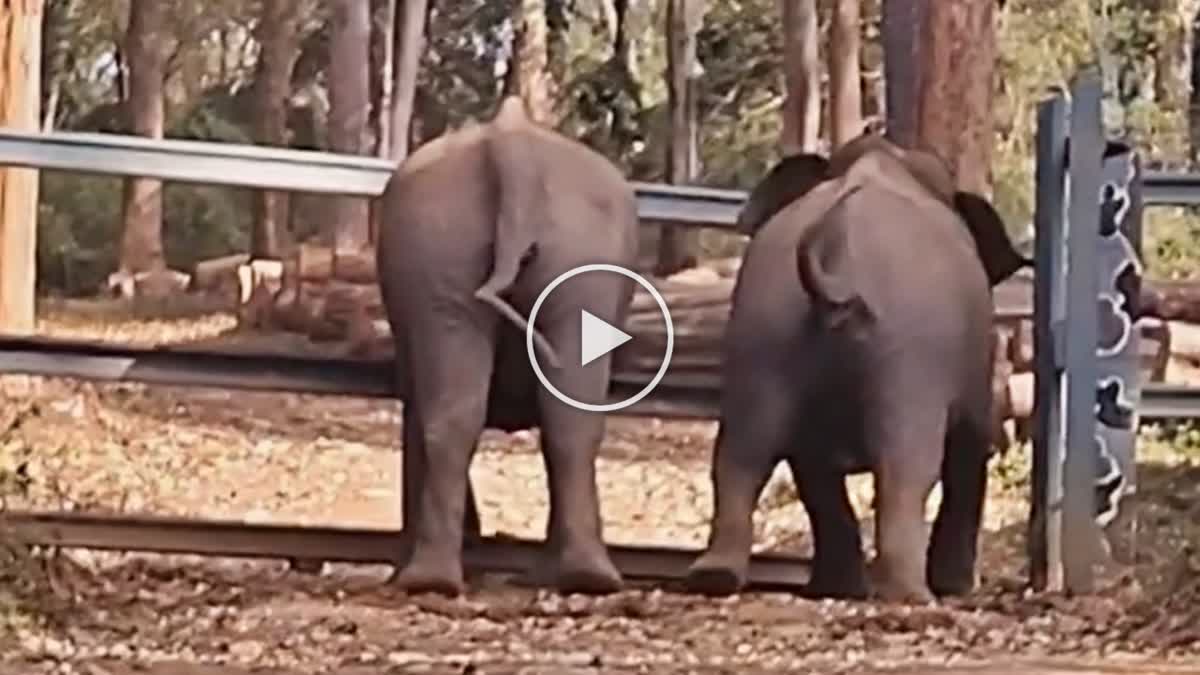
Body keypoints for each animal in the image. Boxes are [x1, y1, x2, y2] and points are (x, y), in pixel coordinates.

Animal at [686, 131, 1032, 598]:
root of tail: (838, 258)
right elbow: (969, 447)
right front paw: (956, 587)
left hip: (761, 333)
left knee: (743, 454)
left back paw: (718, 575)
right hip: (910, 357)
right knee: (906, 469)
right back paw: (910, 594)